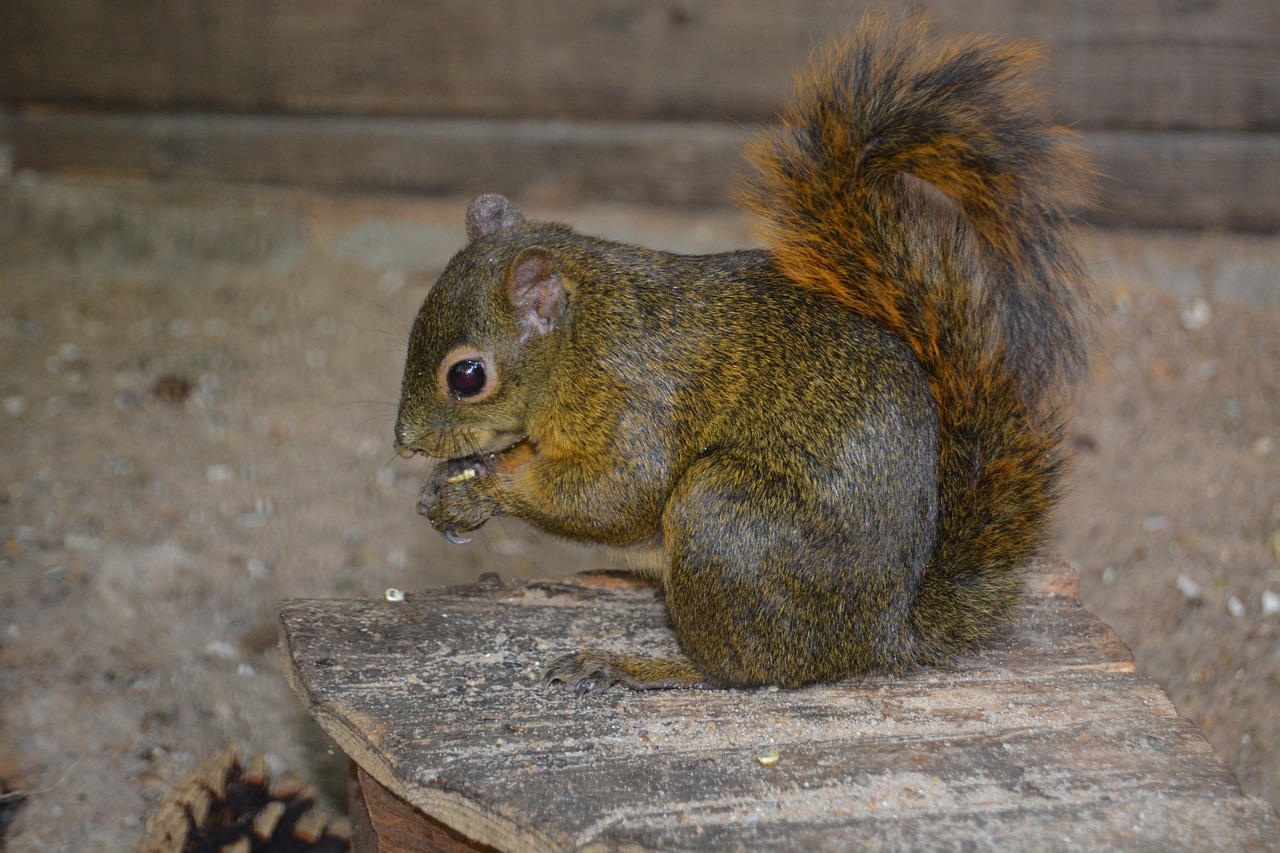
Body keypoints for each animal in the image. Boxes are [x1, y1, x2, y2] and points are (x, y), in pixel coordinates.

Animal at [386, 14, 1090, 691]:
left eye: (467, 375)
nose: (406, 443)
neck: (582, 338)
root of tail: (880, 636)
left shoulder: (633, 398)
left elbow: (617, 495)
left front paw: (487, 488)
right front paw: (448, 484)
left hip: (722, 520)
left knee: (741, 671)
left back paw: (641, 668)